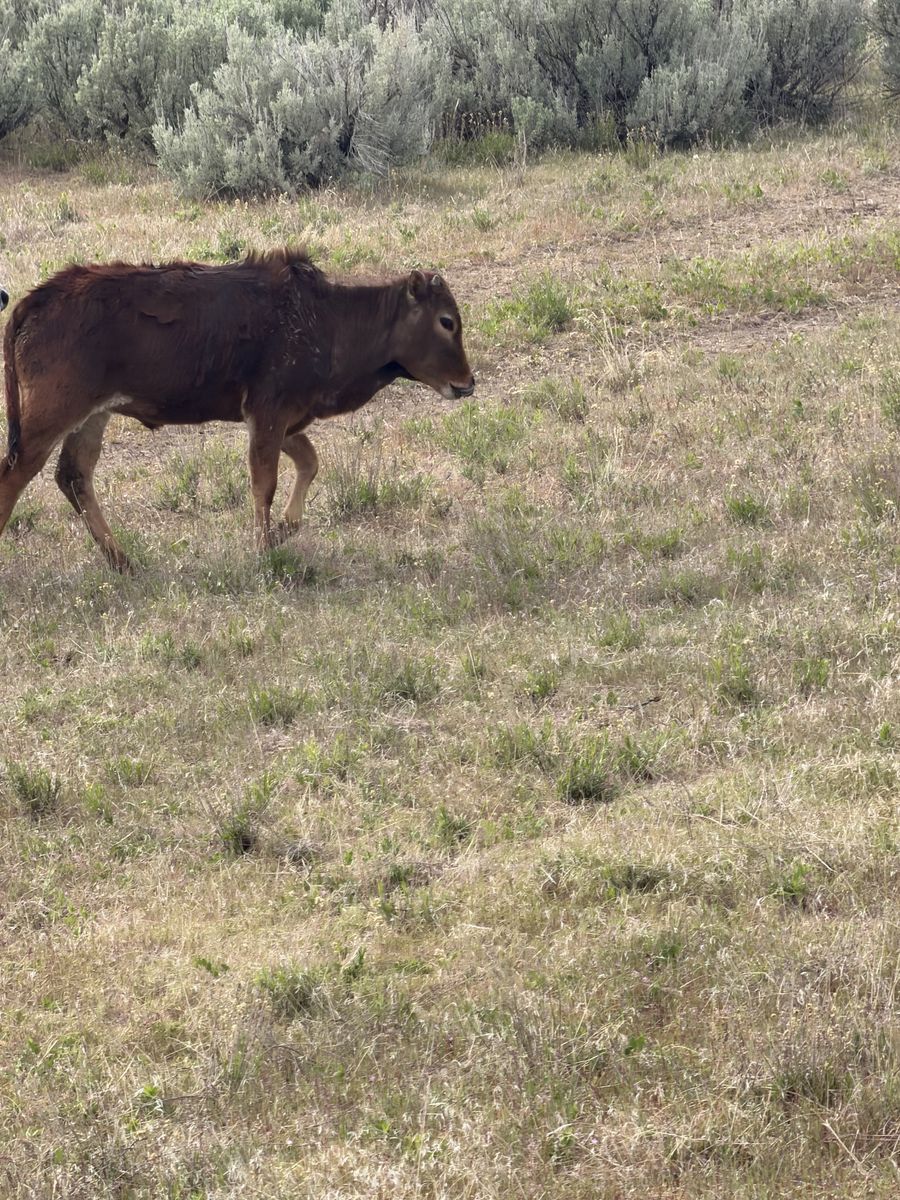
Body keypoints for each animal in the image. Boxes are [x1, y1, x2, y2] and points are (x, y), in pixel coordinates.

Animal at [0, 248, 474, 571]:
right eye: (446, 321)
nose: (466, 384)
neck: (327, 318)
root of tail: (34, 301)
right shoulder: (268, 416)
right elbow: (265, 483)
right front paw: (264, 549)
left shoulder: (284, 421)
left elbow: (309, 462)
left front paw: (284, 530)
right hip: (50, 419)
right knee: (15, 475)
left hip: (91, 417)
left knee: (74, 476)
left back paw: (123, 561)